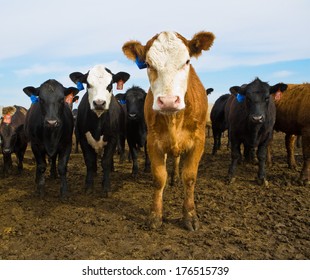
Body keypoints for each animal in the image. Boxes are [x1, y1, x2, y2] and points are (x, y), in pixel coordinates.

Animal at [69, 64, 130, 196]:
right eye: (88, 84)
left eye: (110, 84)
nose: (99, 103)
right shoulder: (83, 138)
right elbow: (89, 161)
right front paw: (88, 186)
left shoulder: (113, 138)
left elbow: (106, 161)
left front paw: (106, 187)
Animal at [122, 30, 214, 231]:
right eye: (148, 64)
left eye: (187, 61)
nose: (169, 101)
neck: (174, 119)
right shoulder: (152, 142)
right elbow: (158, 178)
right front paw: (155, 216)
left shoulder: (199, 141)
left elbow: (189, 177)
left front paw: (190, 216)